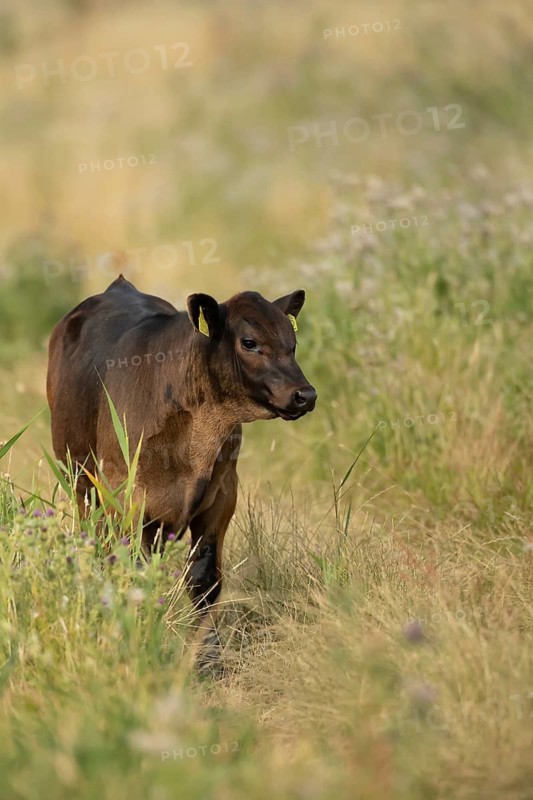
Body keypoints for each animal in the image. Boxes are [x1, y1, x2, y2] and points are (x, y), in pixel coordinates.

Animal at [47, 275, 316, 668]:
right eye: (249, 342)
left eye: (292, 343)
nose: (305, 395)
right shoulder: (123, 496)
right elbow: (132, 570)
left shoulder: (222, 495)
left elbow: (204, 579)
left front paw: (208, 657)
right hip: (80, 481)